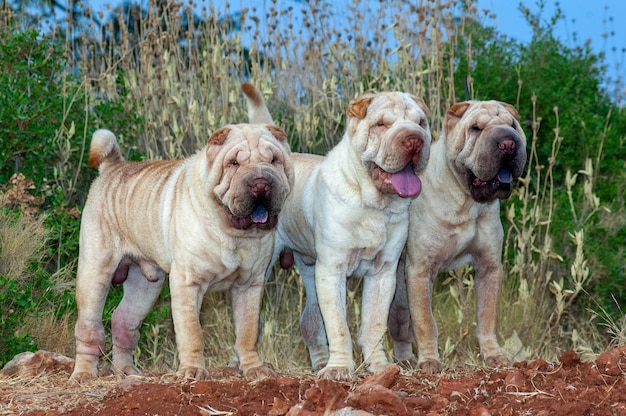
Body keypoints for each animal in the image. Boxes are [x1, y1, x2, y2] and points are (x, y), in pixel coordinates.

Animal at [69, 84, 294, 384]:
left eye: (274, 161)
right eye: (234, 163)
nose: (261, 183)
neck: (231, 232)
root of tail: (113, 166)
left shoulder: (250, 285)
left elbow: (247, 332)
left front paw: (254, 369)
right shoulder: (187, 282)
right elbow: (192, 332)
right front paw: (192, 371)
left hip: (144, 284)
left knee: (123, 320)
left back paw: (126, 371)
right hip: (95, 271)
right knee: (89, 327)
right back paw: (84, 373)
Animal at [386, 100, 528, 374]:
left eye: (513, 125)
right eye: (475, 129)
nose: (508, 143)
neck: (466, 201)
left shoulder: (489, 267)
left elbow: (487, 316)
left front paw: (493, 355)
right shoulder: (420, 270)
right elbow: (426, 321)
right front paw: (430, 361)